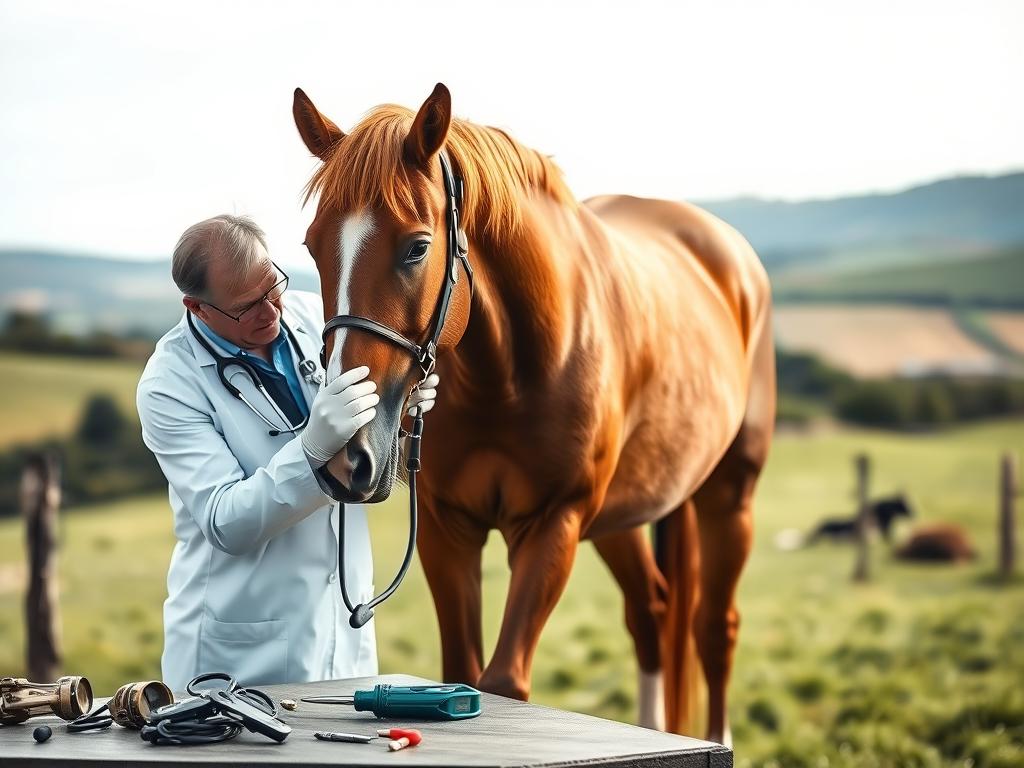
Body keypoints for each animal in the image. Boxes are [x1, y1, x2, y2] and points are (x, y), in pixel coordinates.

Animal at [292, 83, 776, 744]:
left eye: (417, 248)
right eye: (314, 246)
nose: (345, 457)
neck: (510, 375)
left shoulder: (553, 524)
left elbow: (502, 681)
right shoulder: (448, 529)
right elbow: (462, 666)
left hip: (728, 496)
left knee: (714, 628)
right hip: (623, 516)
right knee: (651, 612)